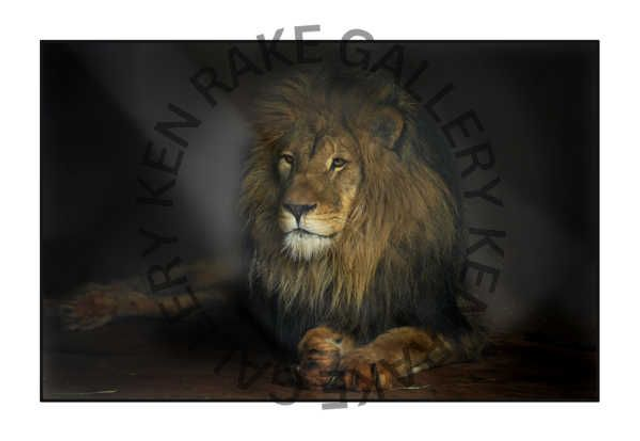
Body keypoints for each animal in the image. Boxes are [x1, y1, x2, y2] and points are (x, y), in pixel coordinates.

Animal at [59, 68, 484, 392]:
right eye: (289, 160)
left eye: (338, 163)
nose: (295, 207)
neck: (346, 258)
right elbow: (313, 333)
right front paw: (319, 353)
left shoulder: (457, 320)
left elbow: (406, 337)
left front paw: (357, 360)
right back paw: (88, 304)